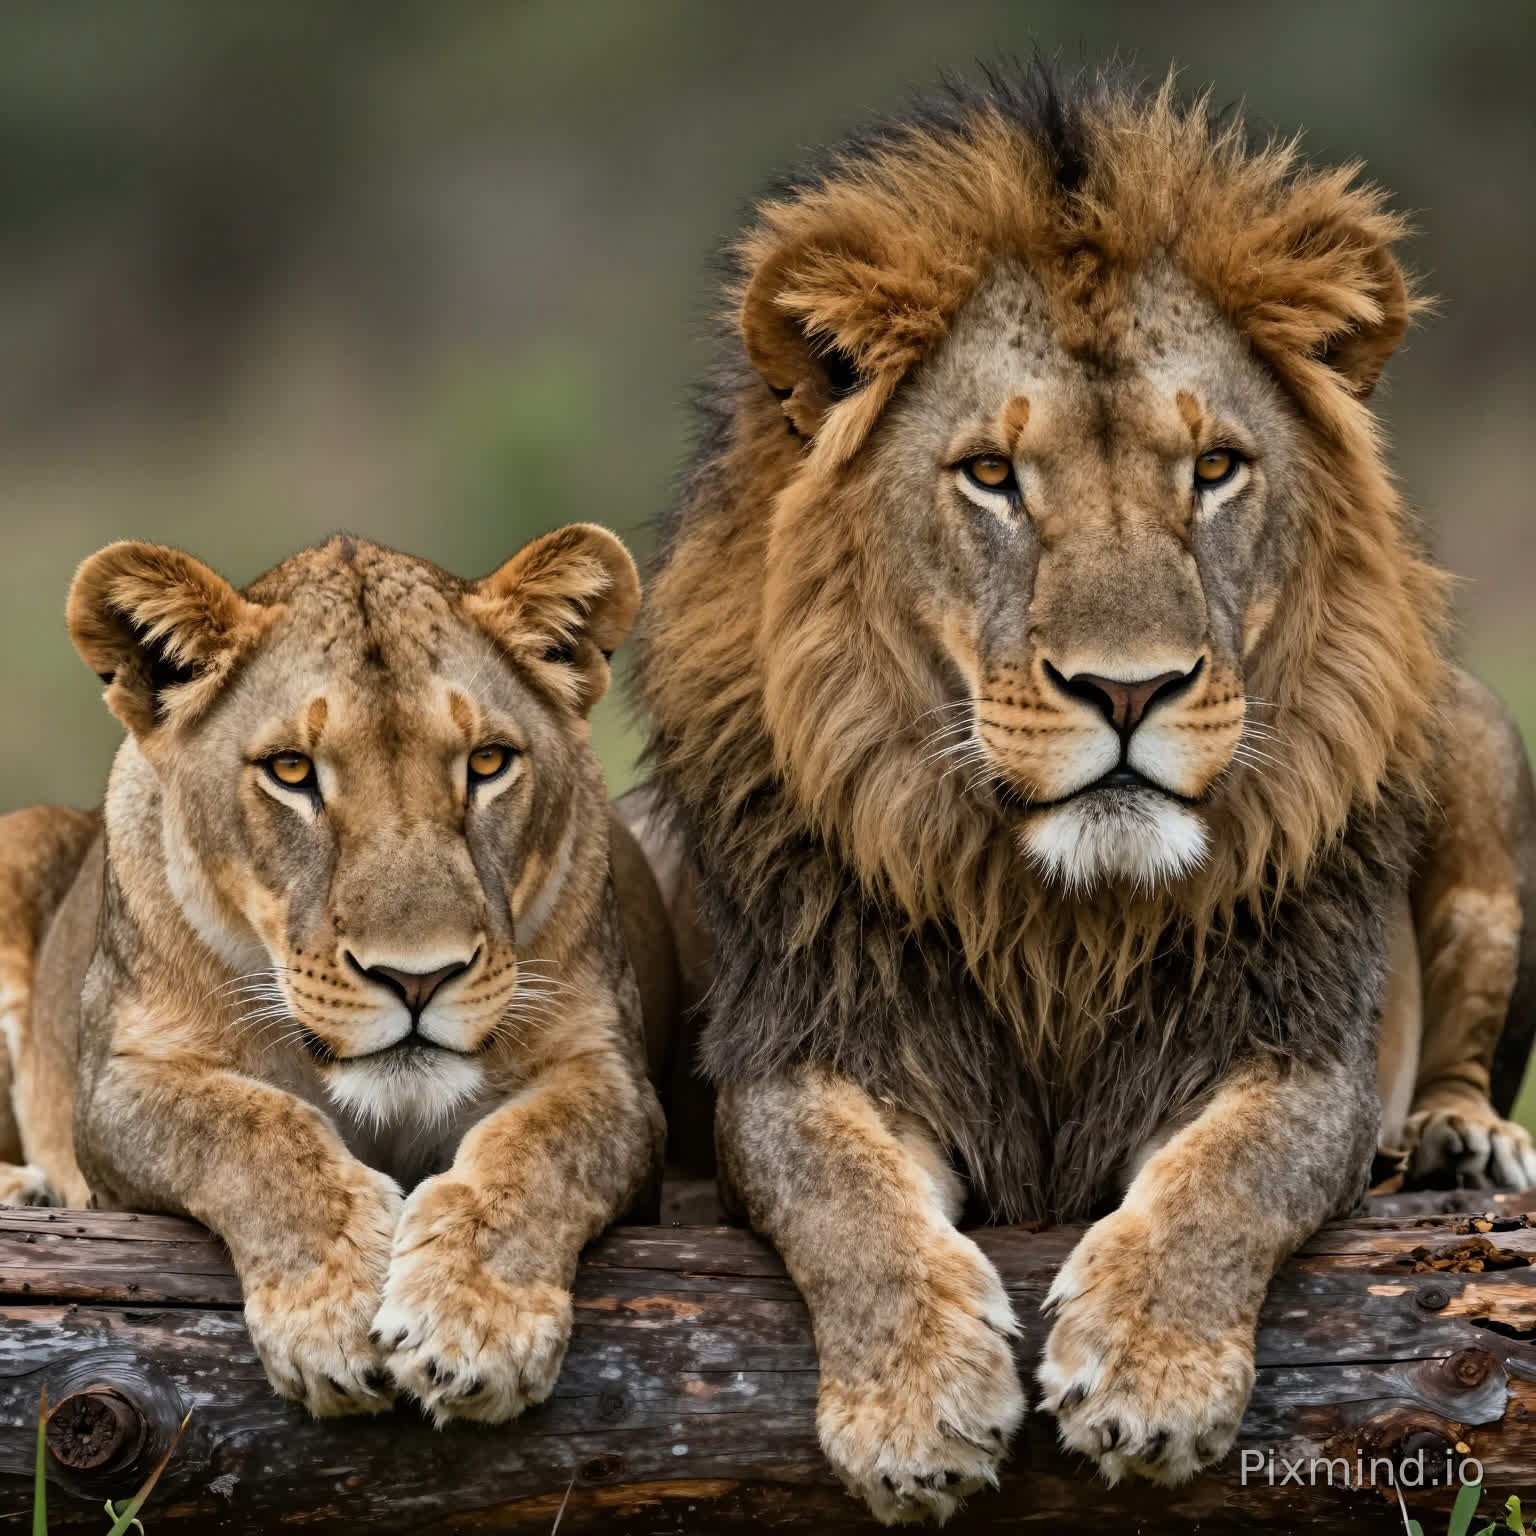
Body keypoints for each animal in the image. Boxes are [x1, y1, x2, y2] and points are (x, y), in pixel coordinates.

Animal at [0, 527, 667, 1426]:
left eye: (489, 762)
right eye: (291, 771)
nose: (418, 978)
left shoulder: (616, 1077)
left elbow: (542, 1148)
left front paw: (470, 1323)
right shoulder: (119, 1082)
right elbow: (251, 1128)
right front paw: (336, 1313)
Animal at [630, 69, 1536, 1521]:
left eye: (1214, 468)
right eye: (993, 477)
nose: (1130, 690)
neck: (1061, 920)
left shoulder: (1296, 1043)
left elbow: (1236, 1175)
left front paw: (1147, 1373)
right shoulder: (801, 1046)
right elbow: (838, 1191)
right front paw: (914, 1406)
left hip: (1480, 751)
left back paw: (1462, 1143)